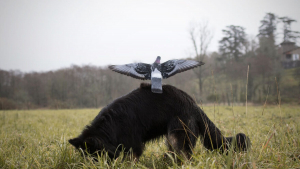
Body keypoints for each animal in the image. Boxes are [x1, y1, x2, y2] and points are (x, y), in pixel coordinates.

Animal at [69, 83, 250, 160]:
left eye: (94, 157)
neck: (111, 125)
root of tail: (193, 104)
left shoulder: (134, 146)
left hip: (177, 134)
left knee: (185, 155)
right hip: (172, 136)